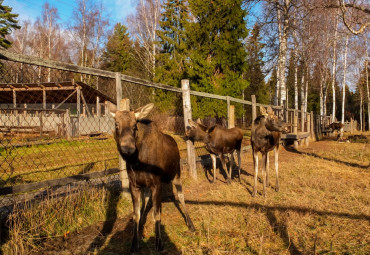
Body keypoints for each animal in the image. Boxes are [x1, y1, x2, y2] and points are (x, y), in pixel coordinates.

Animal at [107, 102, 197, 253]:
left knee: (180, 196)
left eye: (135, 125)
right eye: (116, 124)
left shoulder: (157, 184)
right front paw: (134, 243)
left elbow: (157, 214)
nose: (128, 148)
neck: (137, 162)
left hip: (176, 174)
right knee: (148, 199)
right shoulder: (134, 185)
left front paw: (159, 242)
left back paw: (190, 224)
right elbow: (136, 214)